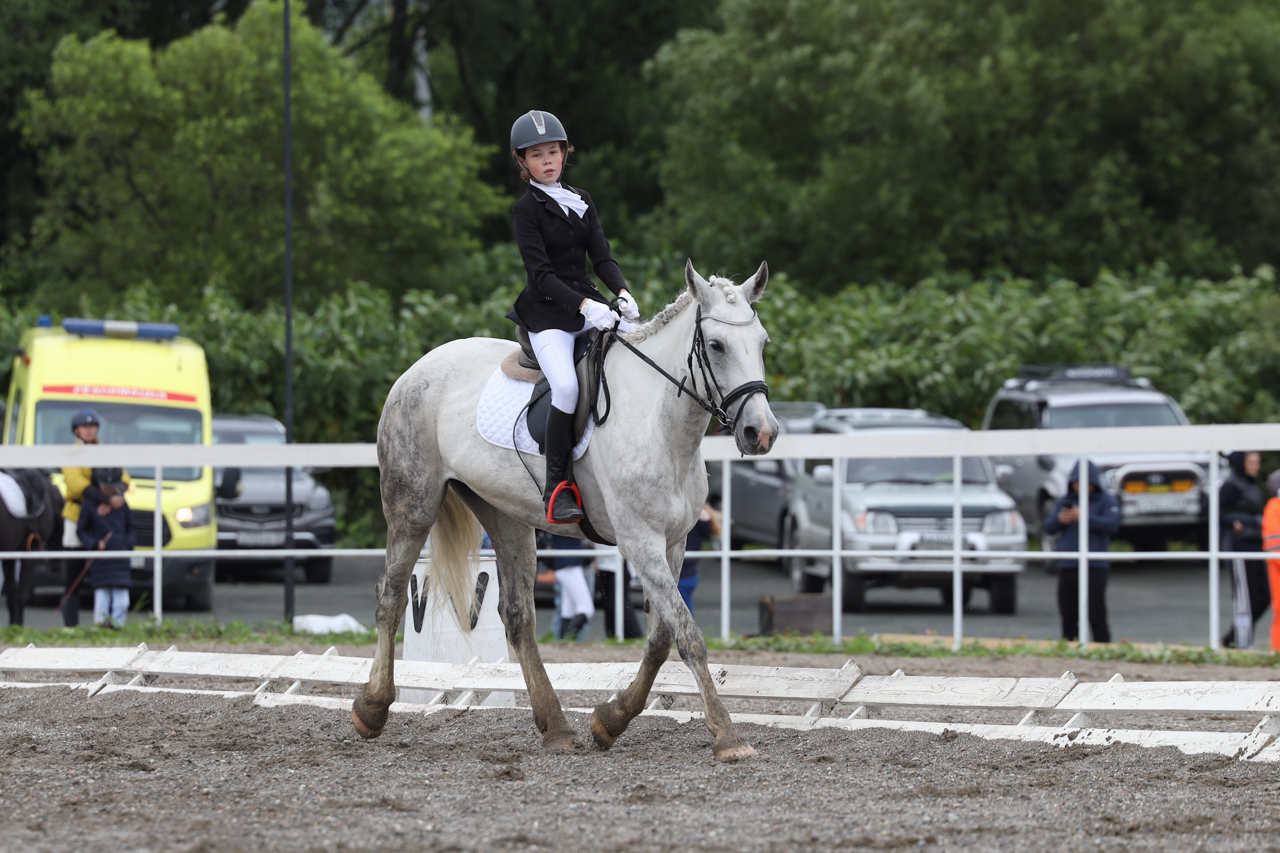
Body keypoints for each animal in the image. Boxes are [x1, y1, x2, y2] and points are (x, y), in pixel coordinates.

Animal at [0, 468, 63, 622]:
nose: (56, 566)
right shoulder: (31, 551)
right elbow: (21, 597)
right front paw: (18, 626)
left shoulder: (10, 555)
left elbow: (12, 598)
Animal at [353, 261, 778, 758]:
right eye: (716, 345)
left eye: (762, 342)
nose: (761, 433)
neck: (660, 425)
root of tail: (417, 367)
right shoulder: (640, 541)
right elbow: (689, 636)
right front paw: (728, 735)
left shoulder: (673, 543)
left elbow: (660, 638)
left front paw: (611, 720)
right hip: (412, 505)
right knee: (391, 596)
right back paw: (372, 709)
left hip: (506, 516)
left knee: (518, 616)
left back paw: (555, 726)